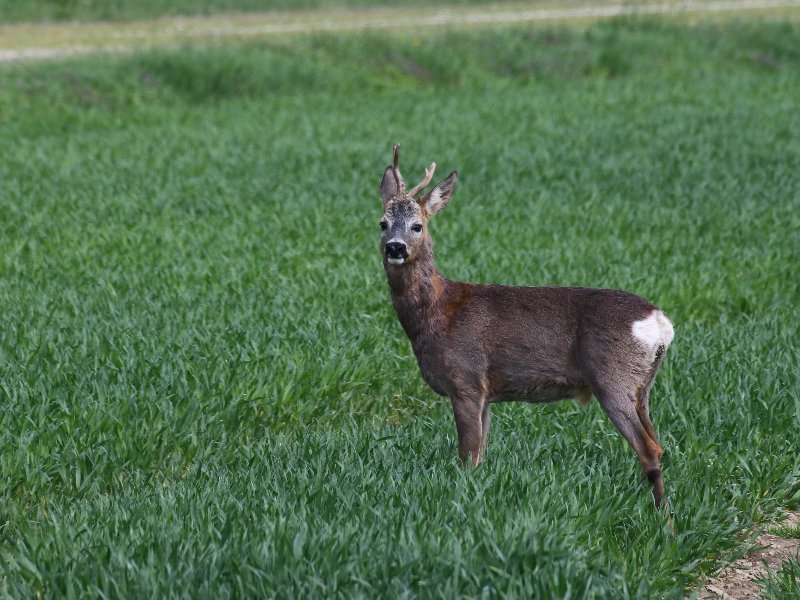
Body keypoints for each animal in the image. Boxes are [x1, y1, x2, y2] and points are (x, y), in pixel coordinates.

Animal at [378, 144, 672, 506]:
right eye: (383, 223)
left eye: (417, 226)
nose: (396, 247)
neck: (437, 312)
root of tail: (660, 322)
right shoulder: (485, 393)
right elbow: (479, 454)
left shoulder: (466, 380)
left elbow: (467, 456)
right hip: (643, 386)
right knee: (657, 443)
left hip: (612, 378)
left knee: (649, 448)